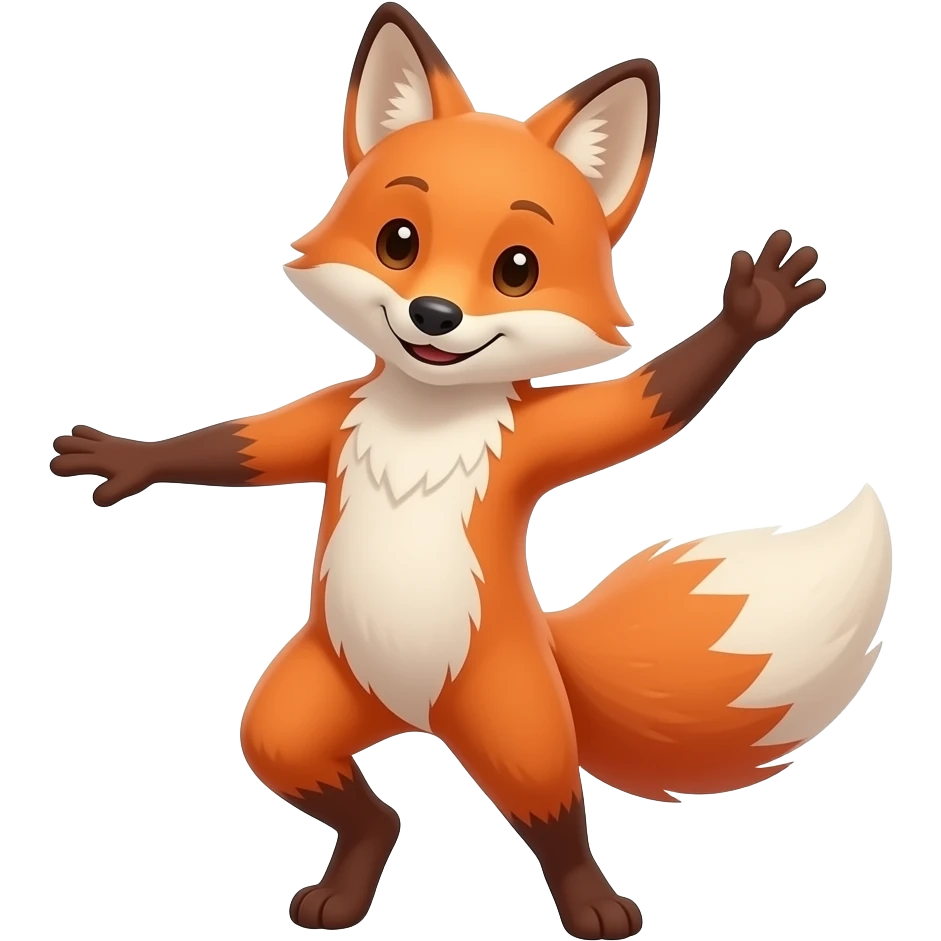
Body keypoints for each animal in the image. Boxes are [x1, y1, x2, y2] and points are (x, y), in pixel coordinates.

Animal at [49, 3, 893, 939]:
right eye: (399, 241)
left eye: (516, 268)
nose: (432, 314)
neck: (425, 416)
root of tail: (412, 714)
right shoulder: (329, 419)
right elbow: (245, 445)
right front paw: (128, 458)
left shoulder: (545, 438)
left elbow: (648, 404)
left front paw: (749, 313)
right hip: (312, 699)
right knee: (338, 787)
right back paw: (347, 883)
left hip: (514, 719)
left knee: (555, 812)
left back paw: (591, 904)